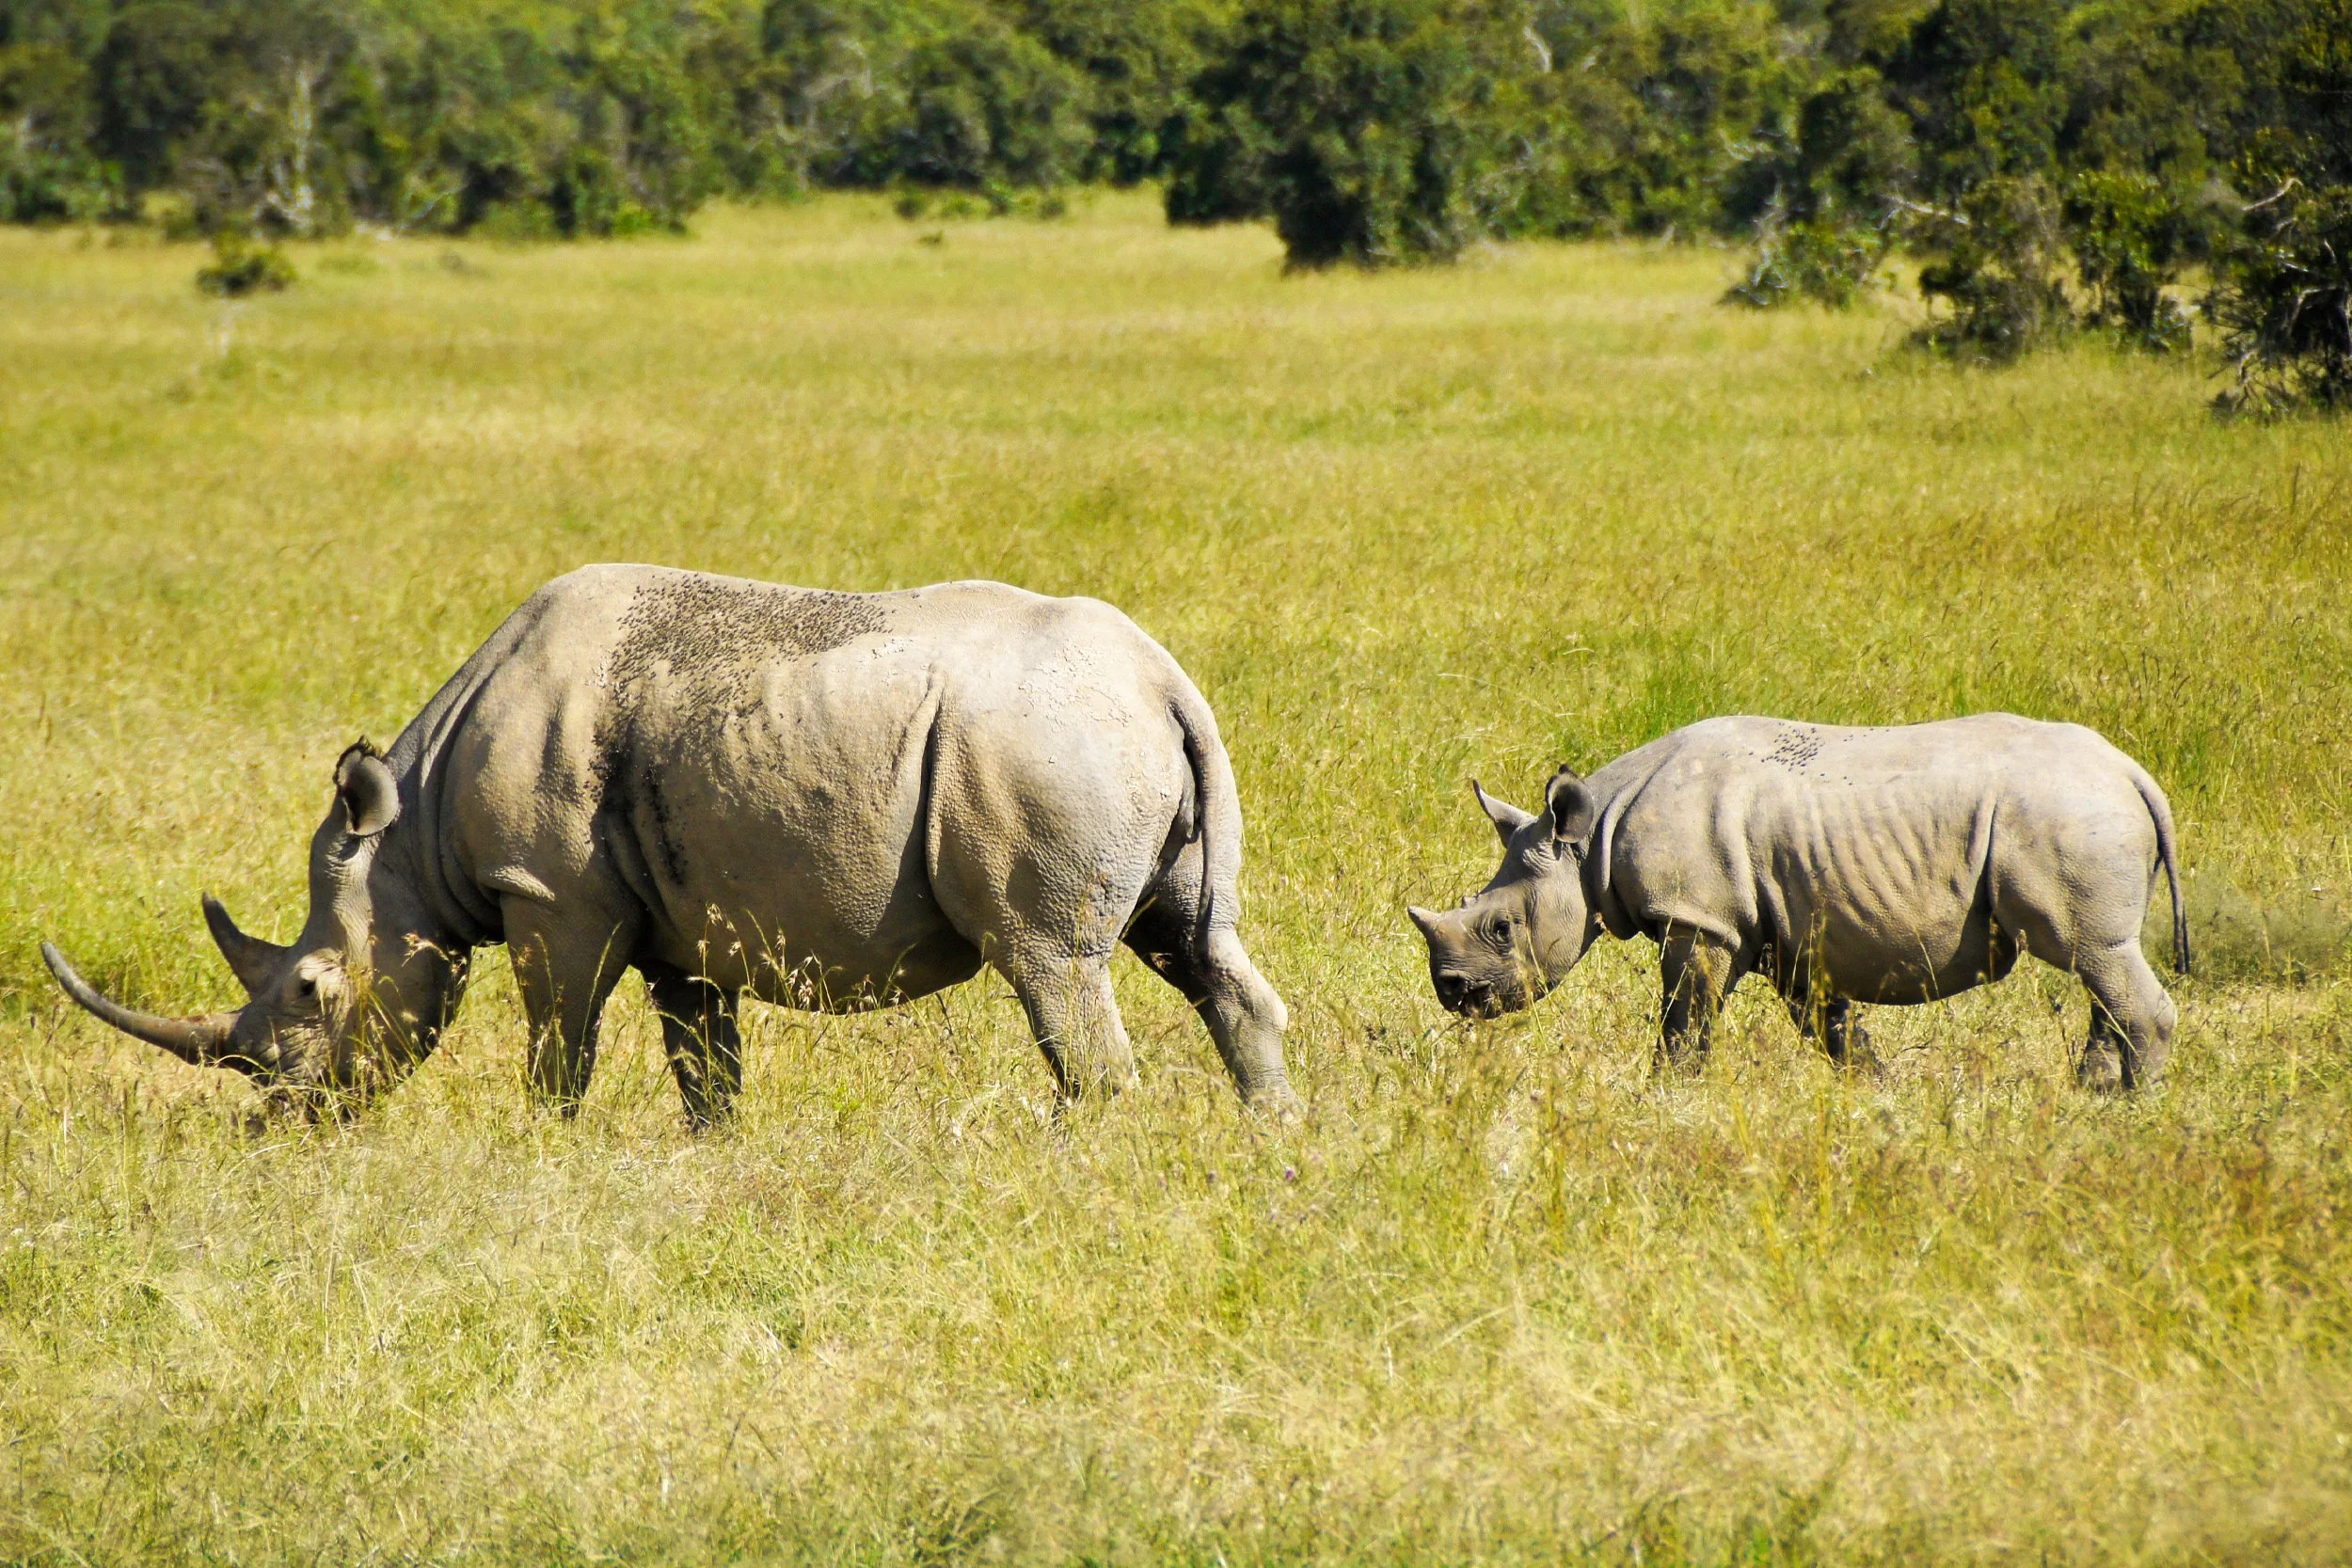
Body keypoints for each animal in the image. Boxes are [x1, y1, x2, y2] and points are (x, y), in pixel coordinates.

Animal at [43, 565, 1296, 1122]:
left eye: (309, 988)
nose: (284, 1118)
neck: (409, 837)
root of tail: (1163, 678)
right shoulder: (688, 921)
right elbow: (706, 1065)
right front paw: (716, 1159)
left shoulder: (552, 896)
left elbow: (560, 1045)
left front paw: (547, 1150)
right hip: (1107, 736)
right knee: (1197, 948)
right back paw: (1273, 1149)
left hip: (1038, 743)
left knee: (1051, 965)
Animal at [1407, 714, 2189, 1090]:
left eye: (1501, 926)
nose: (1453, 993)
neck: (1590, 834)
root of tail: (2133, 771)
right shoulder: (1784, 927)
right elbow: (1831, 1024)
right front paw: (1876, 1092)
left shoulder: (1702, 921)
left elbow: (1683, 1021)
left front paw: (1664, 1098)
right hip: (2080, 812)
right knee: (2101, 963)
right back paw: (2093, 1098)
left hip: (2067, 814)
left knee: (2094, 955)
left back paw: (2134, 1111)